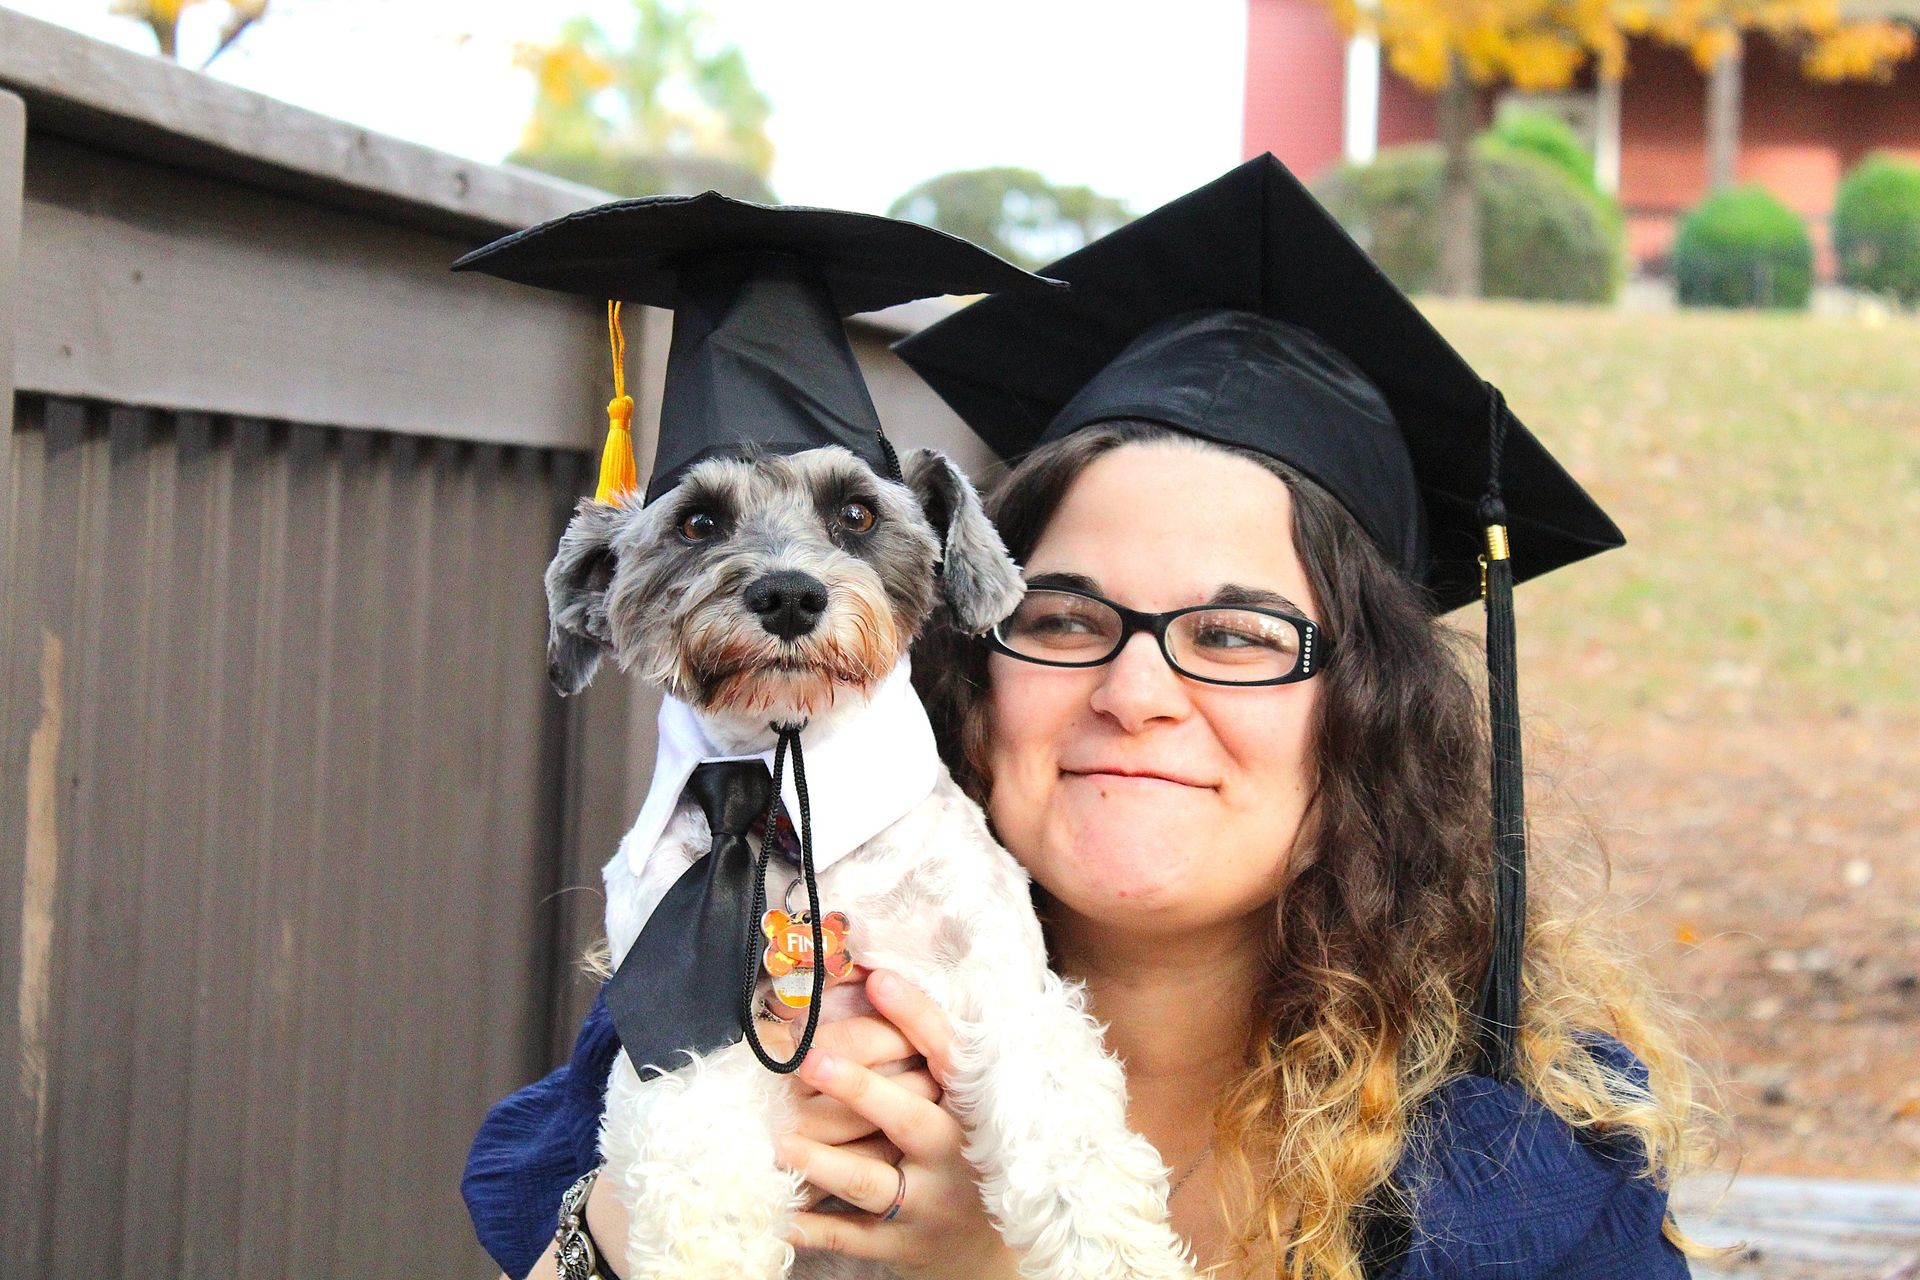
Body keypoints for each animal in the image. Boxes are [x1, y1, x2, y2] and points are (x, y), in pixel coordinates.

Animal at [545, 445, 1198, 1280]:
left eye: (856, 512)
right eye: (698, 522)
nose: (788, 595)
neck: (788, 810)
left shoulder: (1001, 977)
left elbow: (1066, 1127)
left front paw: (1118, 1254)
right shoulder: (677, 1027)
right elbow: (701, 1166)